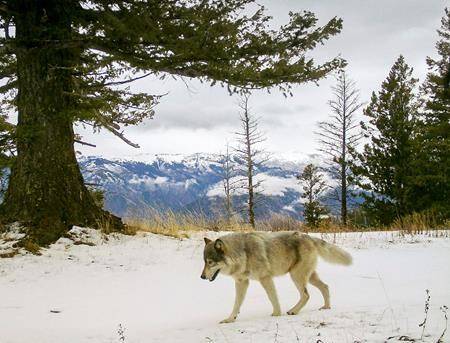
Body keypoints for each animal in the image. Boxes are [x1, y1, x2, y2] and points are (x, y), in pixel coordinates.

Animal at [200, 232, 352, 324]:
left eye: (210, 262)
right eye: (204, 262)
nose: (201, 277)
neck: (243, 253)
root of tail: (308, 236)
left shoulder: (265, 278)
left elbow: (273, 298)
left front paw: (276, 314)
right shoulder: (242, 282)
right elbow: (236, 303)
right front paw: (230, 319)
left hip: (296, 276)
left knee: (306, 295)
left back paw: (293, 311)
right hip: (308, 277)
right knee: (325, 287)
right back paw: (326, 307)